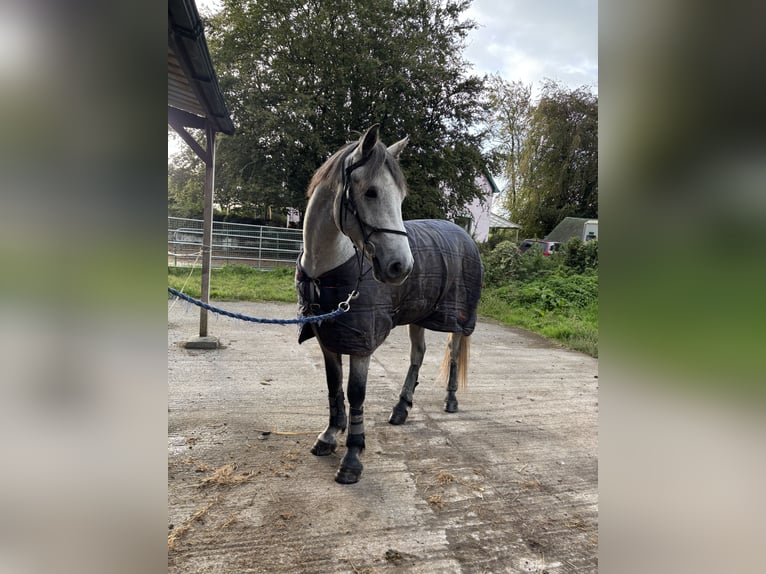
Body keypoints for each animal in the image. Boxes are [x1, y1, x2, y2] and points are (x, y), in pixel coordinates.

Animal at [295, 125, 483, 484]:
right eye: (370, 192)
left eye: (401, 198)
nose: (401, 267)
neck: (327, 270)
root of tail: (464, 233)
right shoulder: (329, 339)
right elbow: (333, 386)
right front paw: (330, 434)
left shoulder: (362, 344)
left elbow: (356, 393)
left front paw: (352, 456)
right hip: (420, 315)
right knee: (418, 355)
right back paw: (401, 408)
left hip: (458, 317)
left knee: (453, 351)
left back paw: (451, 399)